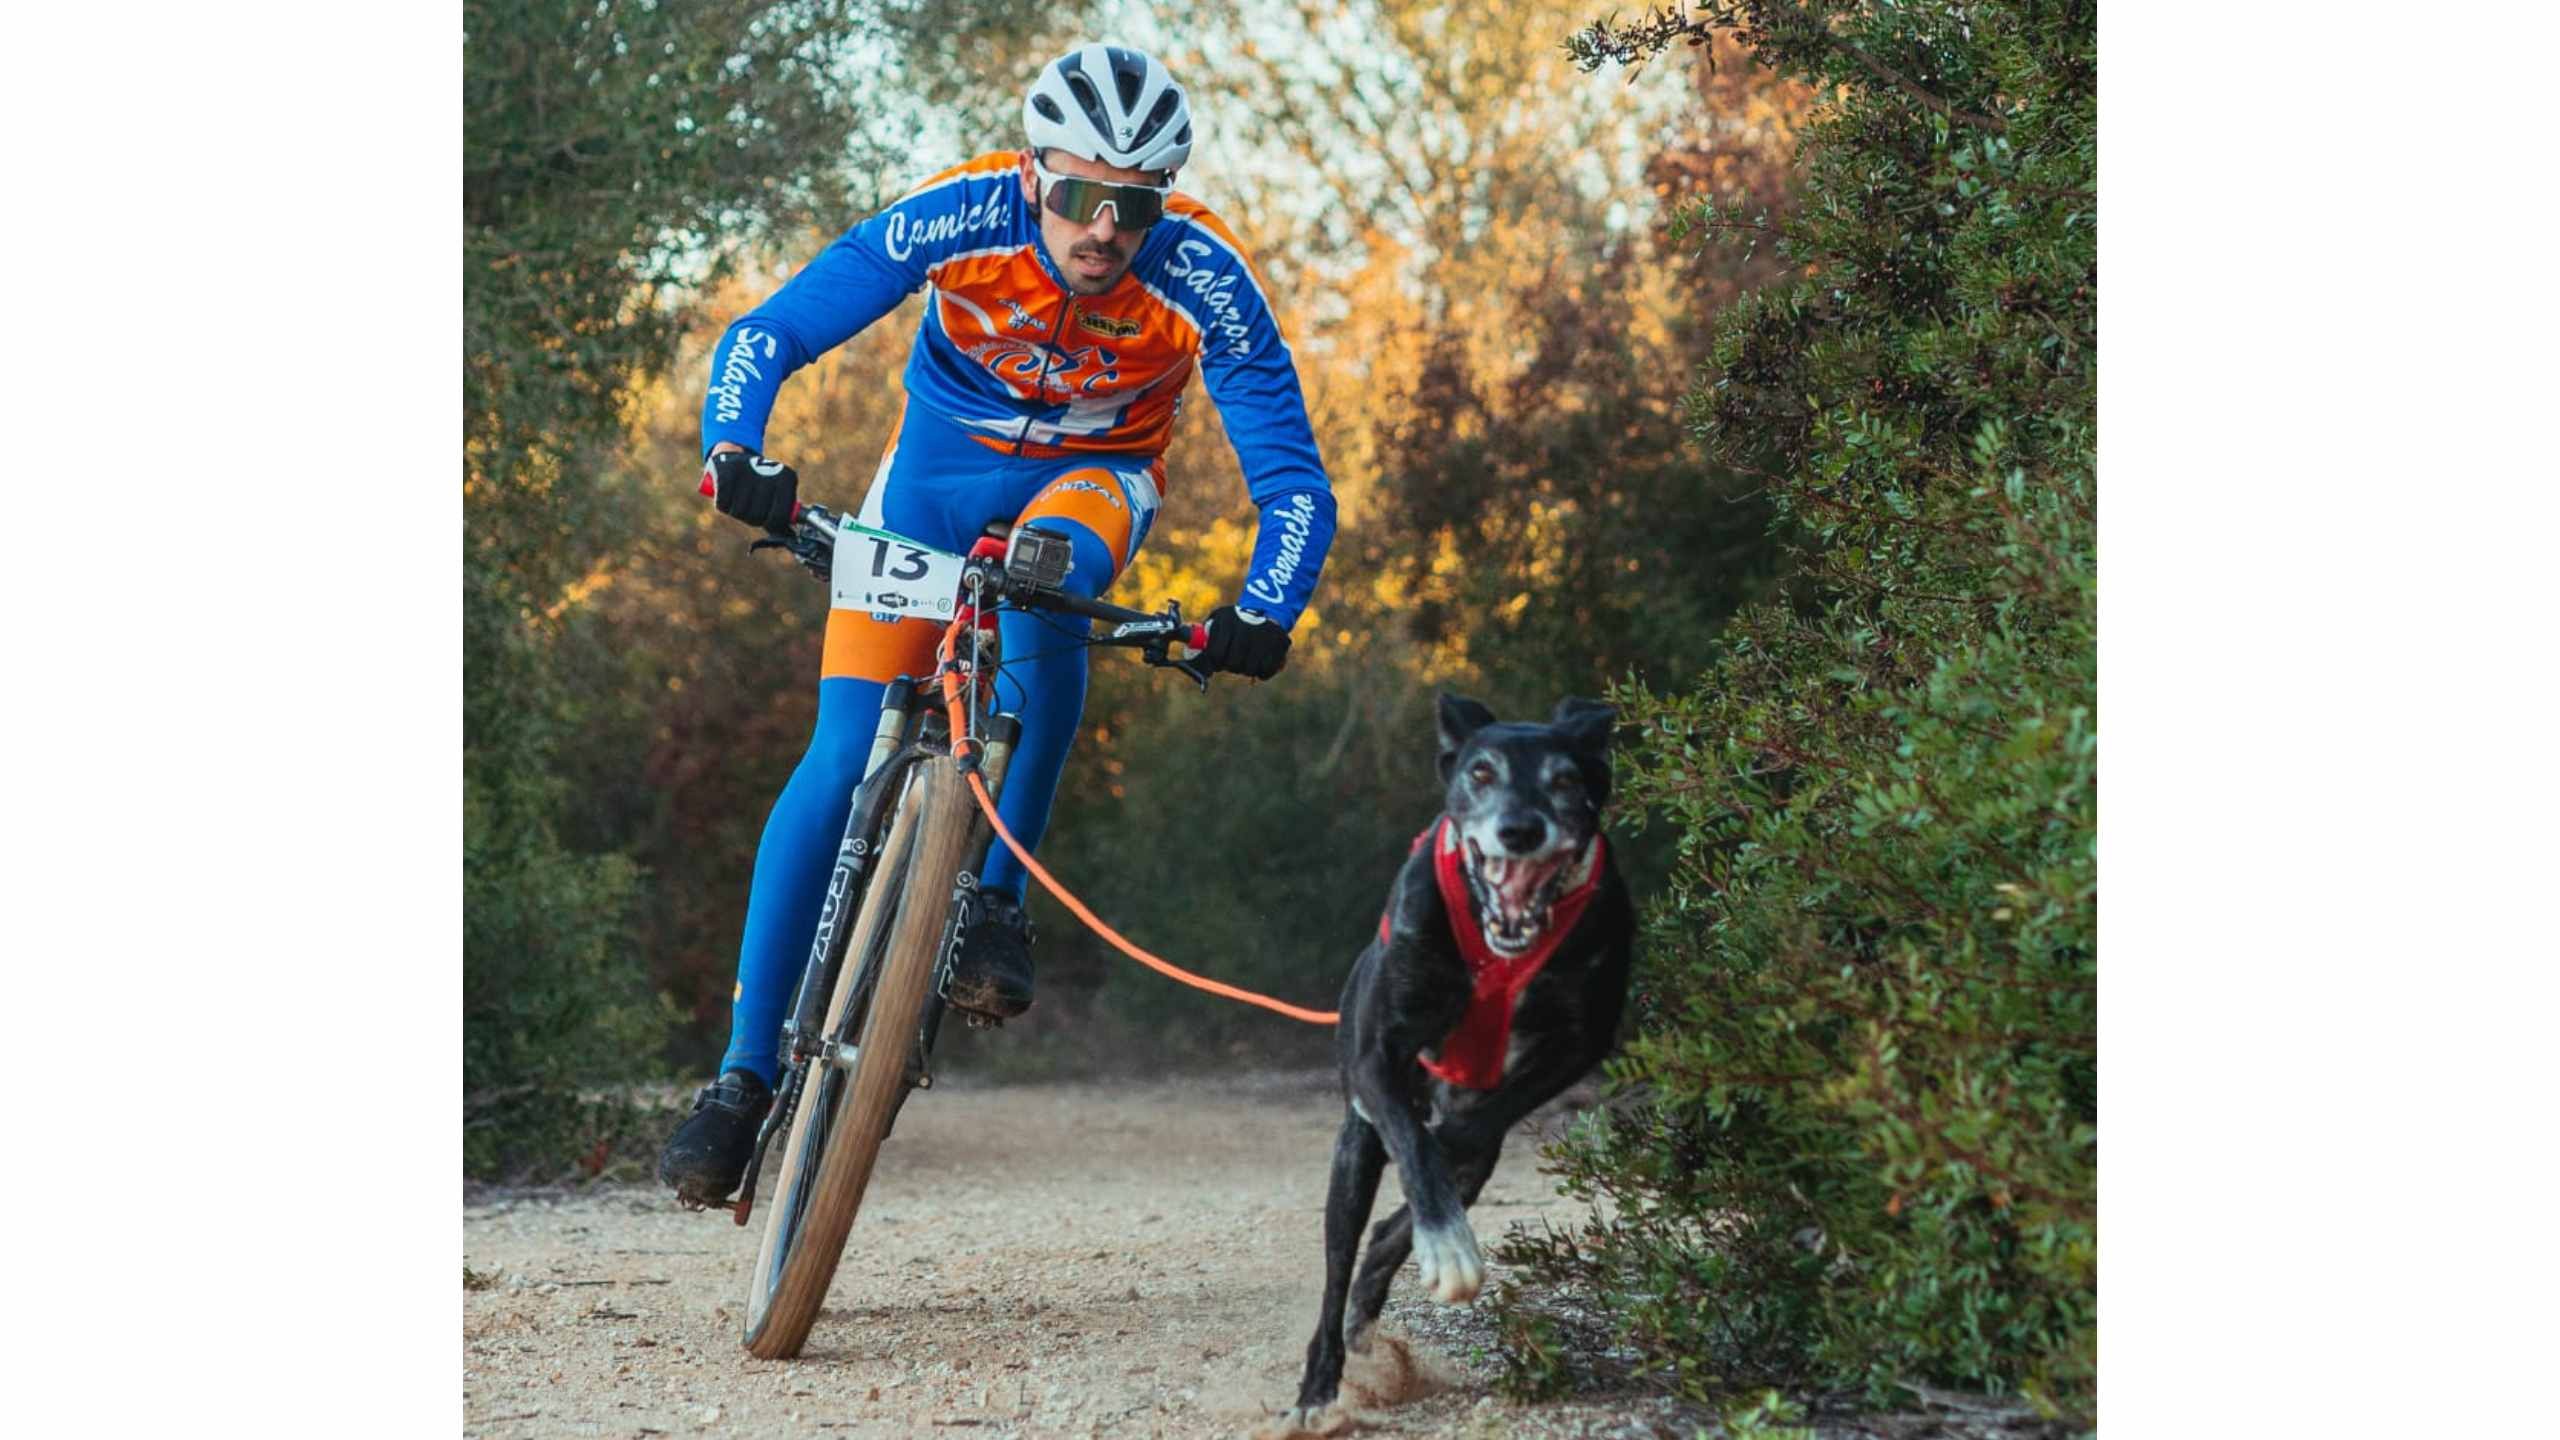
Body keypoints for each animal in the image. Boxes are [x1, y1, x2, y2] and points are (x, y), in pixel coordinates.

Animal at [1290, 691, 1628, 1414]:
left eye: (1566, 780)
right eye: (1480, 772)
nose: (1520, 829)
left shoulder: (1581, 1040)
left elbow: (1457, 1136)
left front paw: (1434, 1228)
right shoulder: (1374, 1061)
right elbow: (1415, 1145)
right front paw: (1445, 1243)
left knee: (1411, 1206)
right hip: (1350, 1161)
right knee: (1339, 1261)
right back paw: (1320, 1379)